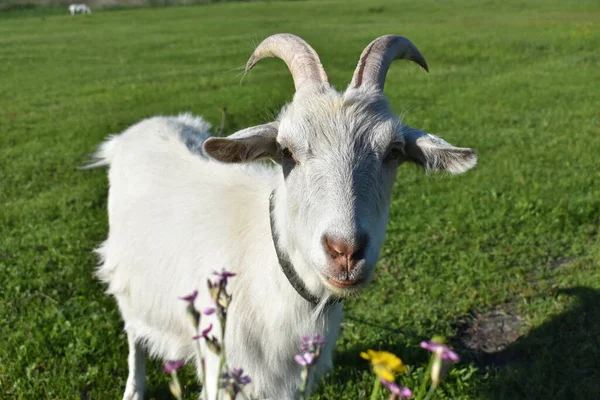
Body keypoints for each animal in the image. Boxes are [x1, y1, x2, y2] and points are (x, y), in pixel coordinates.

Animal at [90, 35, 478, 400]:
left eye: (394, 152)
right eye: (286, 151)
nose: (345, 251)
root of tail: (145, 126)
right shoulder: (221, 370)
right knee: (134, 334)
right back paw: (134, 388)